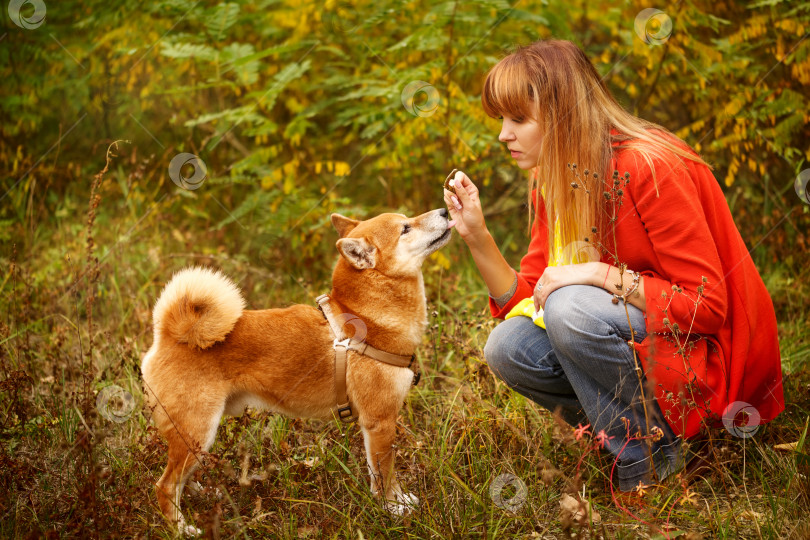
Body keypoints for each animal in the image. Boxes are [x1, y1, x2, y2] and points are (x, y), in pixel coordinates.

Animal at [142, 209, 452, 532]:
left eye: (408, 219)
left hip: (198, 437)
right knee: (166, 486)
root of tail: (169, 335)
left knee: (182, 479)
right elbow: (386, 474)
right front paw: (395, 508)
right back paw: (180, 528)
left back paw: (201, 493)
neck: (367, 317)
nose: (444, 211)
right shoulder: (380, 422)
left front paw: (395, 502)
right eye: (405, 228)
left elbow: (378, 473)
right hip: (197, 431)